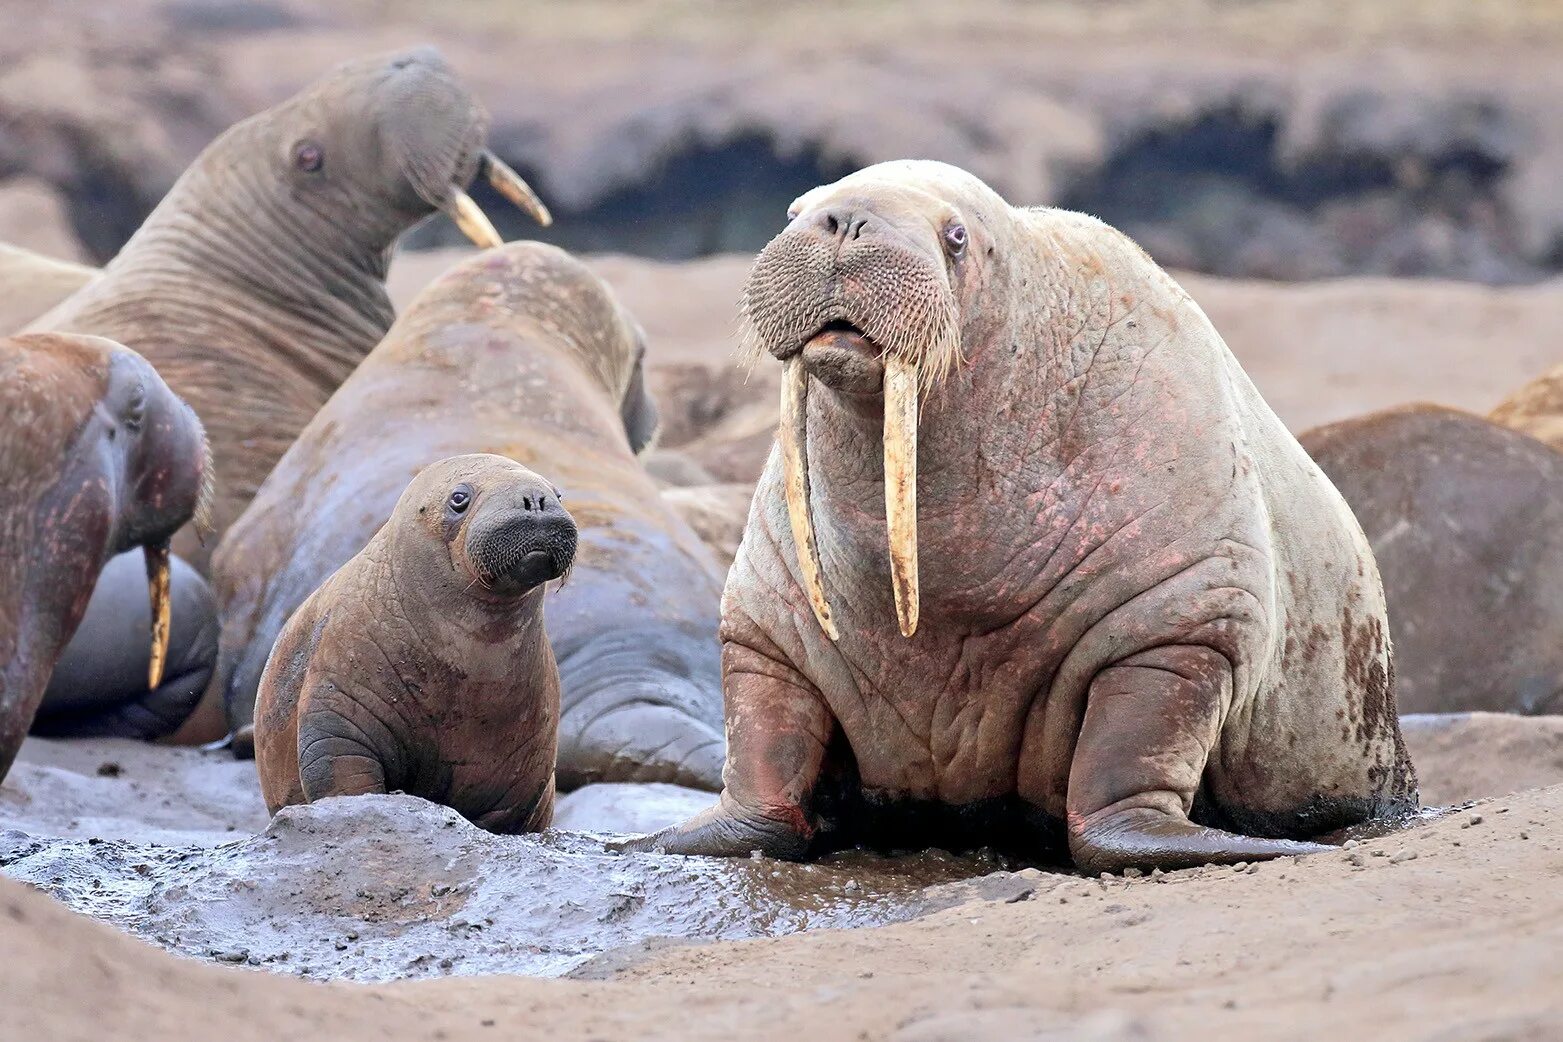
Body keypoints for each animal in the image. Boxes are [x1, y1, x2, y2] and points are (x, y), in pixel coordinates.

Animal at [253, 456, 578, 831]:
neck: (468, 662)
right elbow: (342, 779)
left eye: (558, 493)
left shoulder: (518, 775)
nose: (535, 499)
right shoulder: (339, 717)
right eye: (459, 497)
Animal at [622, 157, 1419, 874]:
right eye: (795, 209)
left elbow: (1130, 752)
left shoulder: (1186, 613)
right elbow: (761, 744)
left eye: (955, 237)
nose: (844, 220)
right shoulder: (766, 618)